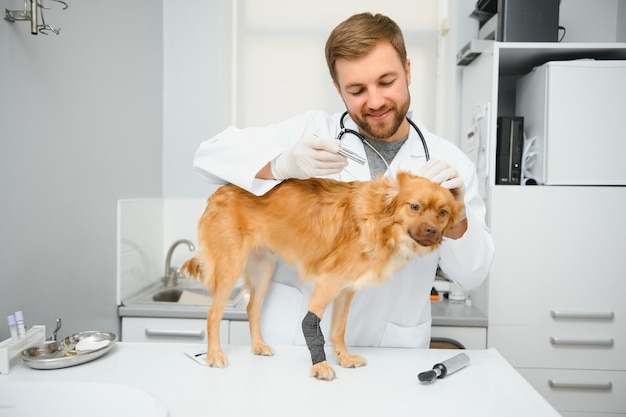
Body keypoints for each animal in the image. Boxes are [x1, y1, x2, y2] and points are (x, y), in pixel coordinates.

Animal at [180, 170, 464, 380]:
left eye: (442, 213)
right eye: (414, 206)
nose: (431, 231)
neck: (378, 220)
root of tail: (220, 190)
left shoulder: (345, 290)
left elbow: (338, 329)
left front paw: (344, 358)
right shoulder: (328, 283)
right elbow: (311, 324)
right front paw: (320, 366)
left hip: (263, 268)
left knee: (252, 308)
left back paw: (258, 346)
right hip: (231, 266)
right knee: (213, 313)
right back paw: (214, 355)